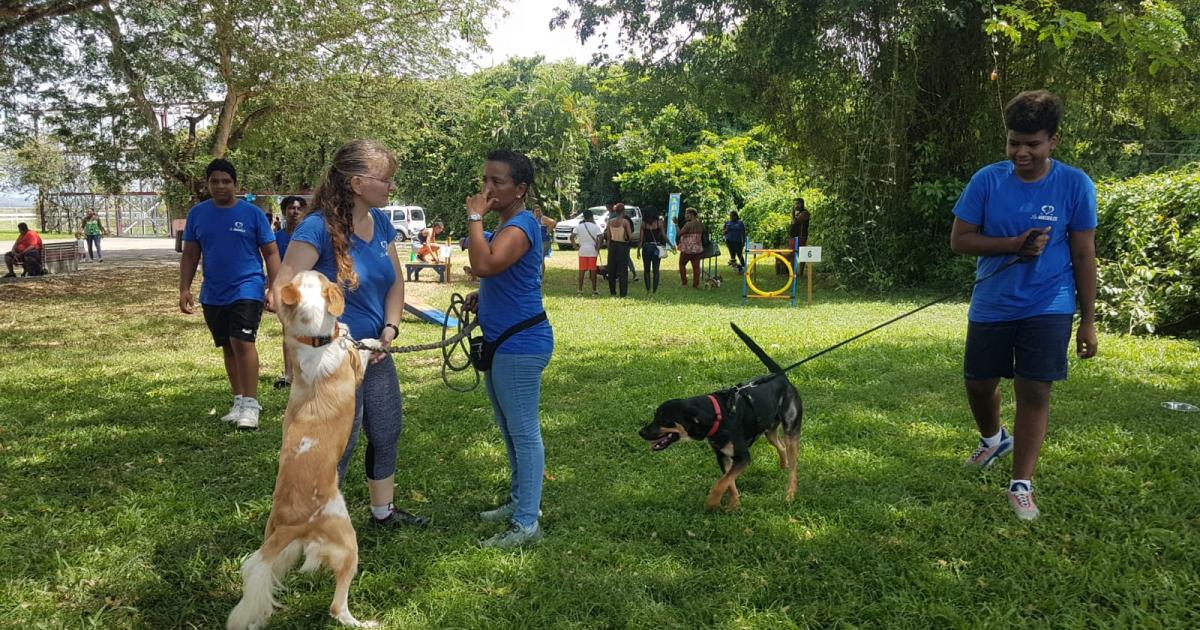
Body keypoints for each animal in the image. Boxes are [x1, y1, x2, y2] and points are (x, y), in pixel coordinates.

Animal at [229, 270, 384, 628]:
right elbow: (361, 348)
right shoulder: (353, 367)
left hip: (277, 545)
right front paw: (374, 342)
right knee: (337, 607)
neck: (317, 341)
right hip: (348, 543)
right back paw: (361, 622)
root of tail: (291, 523)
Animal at [638, 369, 806, 511]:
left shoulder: (743, 457)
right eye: (655, 416)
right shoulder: (722, 456)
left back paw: (790, 494)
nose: (641, 432)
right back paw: (783, 465)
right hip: (769, 430)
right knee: (780, 446)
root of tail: (782, 377)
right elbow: (728, 482)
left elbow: (721, 483)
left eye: (664, 420)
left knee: (793, 468)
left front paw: (711, 504)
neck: (718, 416)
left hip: (791, 431)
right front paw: (734, 505)